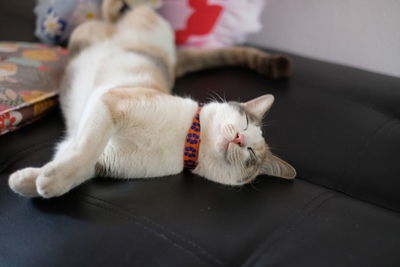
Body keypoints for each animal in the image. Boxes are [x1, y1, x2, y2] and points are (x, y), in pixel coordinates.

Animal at [7, 3, 296, 198]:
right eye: (244, 122)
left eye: (250, 153)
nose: (239, 138)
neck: (185, 141)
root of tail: (174, 60)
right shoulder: (110, 102)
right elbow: (83, 150)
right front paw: (37, 181)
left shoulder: (103, 159)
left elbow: (75, 162)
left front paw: (33, 181)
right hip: (96, 33)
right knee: (122, 12)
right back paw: (119, 6)